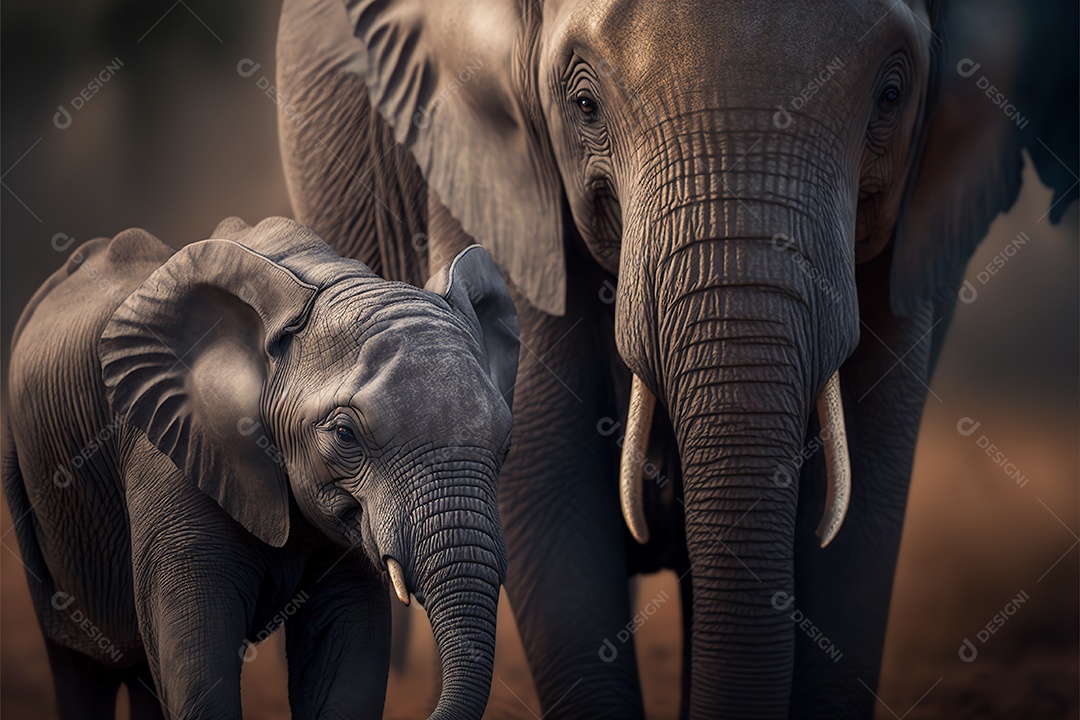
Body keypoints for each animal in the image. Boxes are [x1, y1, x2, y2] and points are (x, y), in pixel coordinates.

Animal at [2, 215, 519, 720]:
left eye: (506, 444)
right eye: (345, 434)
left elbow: (347, 660)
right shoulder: (167, 453)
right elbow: (198, 666)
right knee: (80, 663)